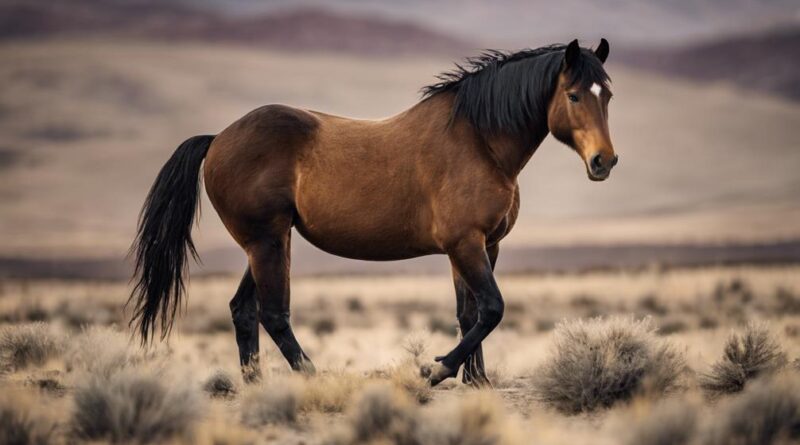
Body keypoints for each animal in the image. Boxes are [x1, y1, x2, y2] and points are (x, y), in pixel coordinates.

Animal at [130, 38, 620, 386]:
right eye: (574, 96)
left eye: (608, 95)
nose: (604, 162)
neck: (479, 141)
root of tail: (217, 140)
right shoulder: (466, 244)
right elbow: (492, 308)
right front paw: (437, 370)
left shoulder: (484, 246)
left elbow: (471, 313)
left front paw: (476, 379)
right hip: (267, 241)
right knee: (273, 314)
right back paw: (311, 376)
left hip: (268, 242)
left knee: (243, 310)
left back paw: (255, 383)